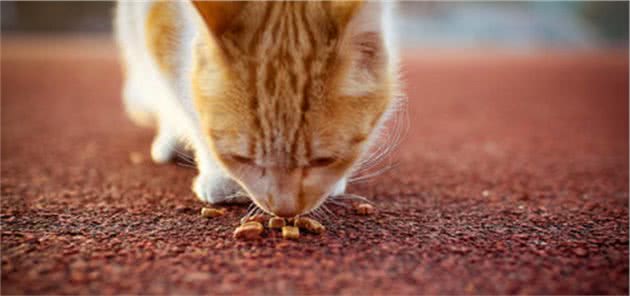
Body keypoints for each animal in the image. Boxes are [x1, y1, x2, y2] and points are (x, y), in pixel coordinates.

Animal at [115, 1, 402, 219]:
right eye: (243, 159)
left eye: (324, 160)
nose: (285, 211)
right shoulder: (155, 20)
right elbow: (186, 96)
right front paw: (219, 174)